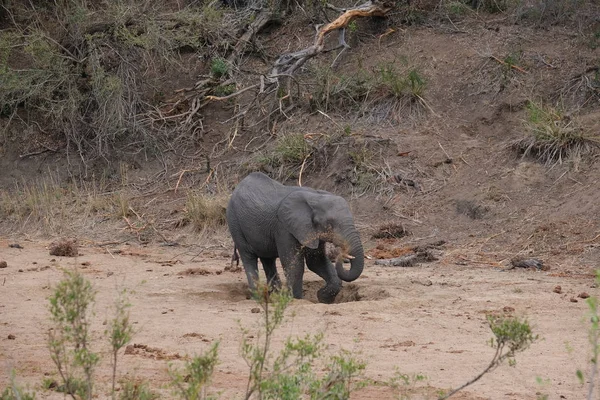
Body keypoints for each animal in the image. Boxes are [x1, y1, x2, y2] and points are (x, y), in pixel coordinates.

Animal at [226, 172, 364, 304]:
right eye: (330, 225)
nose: (343, 254)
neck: (315, 197)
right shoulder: (284, 227)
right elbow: (295, 265)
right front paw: (296, 299)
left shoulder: (310, 230)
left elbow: (316, 262)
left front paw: (322, 297)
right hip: (234, 222)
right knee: (248, 257)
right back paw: (259, 298)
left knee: (267, 259)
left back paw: (274, 297)